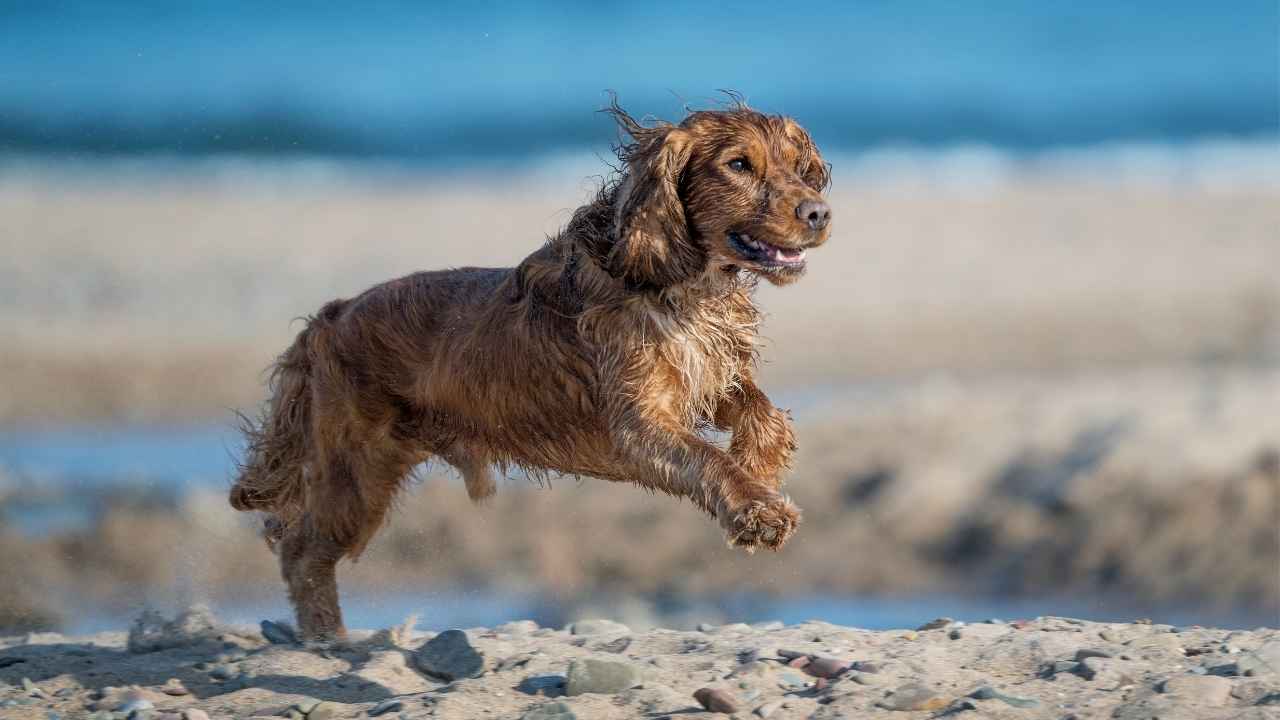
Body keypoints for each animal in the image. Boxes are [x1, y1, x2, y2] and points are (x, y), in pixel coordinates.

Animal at [229, 96, 829, 638]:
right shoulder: (637, 421)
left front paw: (761, 470)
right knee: (301, 551)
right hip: (356, 474)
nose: (819, 213)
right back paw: (326, 639)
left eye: (796, 166)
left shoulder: (706, 377)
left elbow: (764, 415)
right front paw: (759, 512)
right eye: (739, 165)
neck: (678, 282)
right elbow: (708, 458)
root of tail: (330, 316)